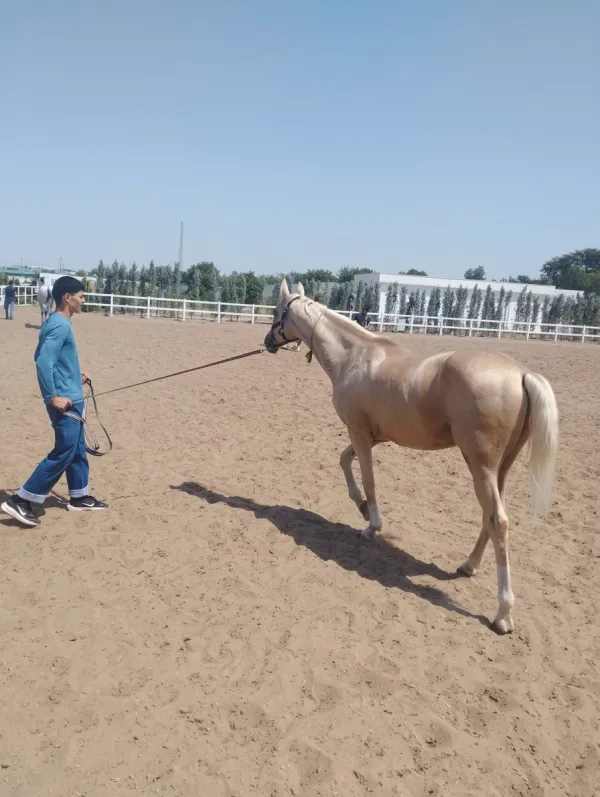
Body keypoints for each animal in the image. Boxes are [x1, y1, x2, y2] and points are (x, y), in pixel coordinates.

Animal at [264, 279, 559, 634]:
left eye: (277, 311)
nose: (267, 342)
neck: (354, 357)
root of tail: (521, 374)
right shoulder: (370, 437)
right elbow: (344, 461)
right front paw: (362, 508)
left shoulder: (359, 434)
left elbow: (368, 479)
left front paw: (371, 526)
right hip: (499, 467)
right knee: (489, 517)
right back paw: (468, 565)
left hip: (480, 465)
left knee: (498, 521)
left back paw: (503, 614)